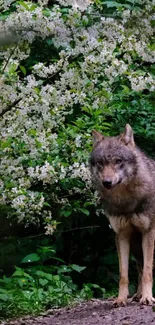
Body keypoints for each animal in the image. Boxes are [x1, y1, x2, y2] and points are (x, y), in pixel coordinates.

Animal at [89, 123, 155, 306]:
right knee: (139, 268)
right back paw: (138, 295)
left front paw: (148, 297)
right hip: (136, 245)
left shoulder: (149, 232)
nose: (107, 182)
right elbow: (124, 274)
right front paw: (121, 299)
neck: (126, 201)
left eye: (118, 161)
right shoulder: (122, 234)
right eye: (101, 163)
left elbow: (148, 271)